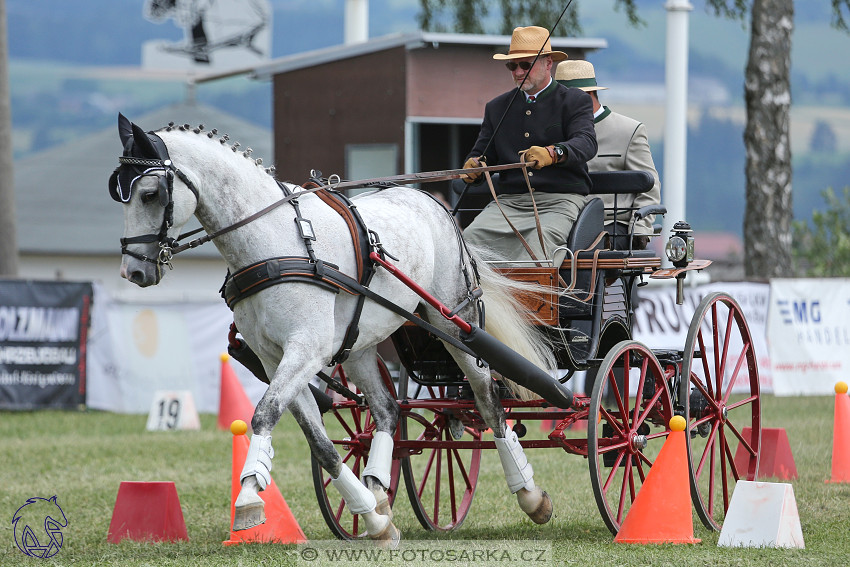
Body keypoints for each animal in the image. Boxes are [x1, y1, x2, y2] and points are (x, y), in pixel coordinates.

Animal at [112, 114, 560, 540]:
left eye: (150, 194)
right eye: (118, 192)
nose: (133, 271)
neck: (275, 242)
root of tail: (433, 201)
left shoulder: (305, 350)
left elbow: (264, 414)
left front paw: (248, 498)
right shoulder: (275, 358)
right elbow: (320, 442)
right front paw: (373, 520)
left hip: (454, 323)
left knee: (488, 401)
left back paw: (530, 495)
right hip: (360, 345)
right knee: (387, 408)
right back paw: (378, 491)